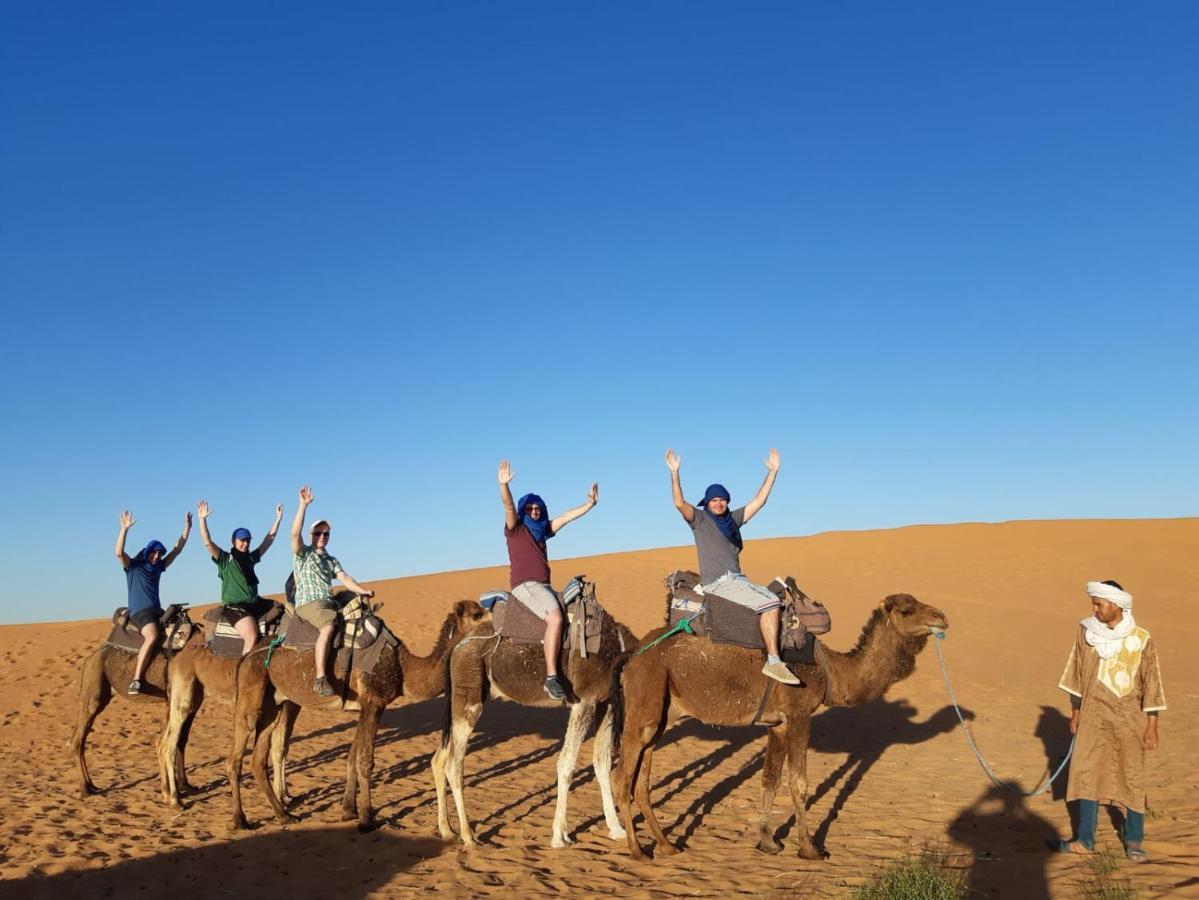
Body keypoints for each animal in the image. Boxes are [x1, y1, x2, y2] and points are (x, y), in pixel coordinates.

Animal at [226, 599, 489, 829]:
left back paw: (284, 815)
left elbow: (352, 758)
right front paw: (367, 819)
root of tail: (247, 655)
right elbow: (365, 761)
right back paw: (241, 820)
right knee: (236, 756)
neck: (404, 667)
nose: (493, 616)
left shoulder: (363, 707)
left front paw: (348, 810)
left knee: (258, 759)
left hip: (274, 703)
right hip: (251, 693)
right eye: (476, 614)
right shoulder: (374, 703)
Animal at [429, 608, 637, 848]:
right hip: (469, 695)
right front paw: (559, 837)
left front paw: (617, 829)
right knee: (453, 764)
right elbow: (566, 764)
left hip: (461, 700)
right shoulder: (585, 700)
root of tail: (457, 647)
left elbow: (602, 764)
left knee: (438, 759)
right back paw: (468, 836)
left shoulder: (606, 701)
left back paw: (447, 830)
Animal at [613, 594, 949, 862]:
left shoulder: (777, 724)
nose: (942, 617)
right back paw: (637, 851)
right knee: (622, 777)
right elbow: (799, 783)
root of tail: (631, 655)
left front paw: (768, 842)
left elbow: (769, 780)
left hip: (661, 711)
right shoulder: (799, 714)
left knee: (641, 780)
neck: (831, 671)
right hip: (646, 700)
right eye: (907, 609)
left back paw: (667, 845)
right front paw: (810, 849)